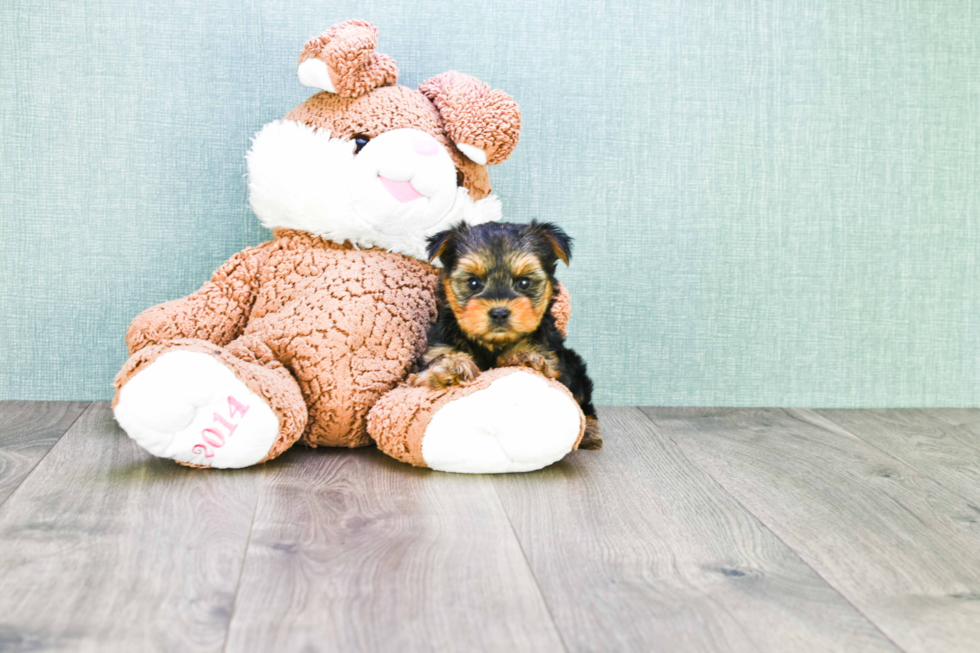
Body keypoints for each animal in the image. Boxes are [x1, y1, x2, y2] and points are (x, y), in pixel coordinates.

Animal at [412, 219, 596, 448]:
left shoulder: (551, 356)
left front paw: (525, 357)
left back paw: (589, 432)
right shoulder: (438, 346)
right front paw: (451, 366)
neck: (492, 343)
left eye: (524, 282)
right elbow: (433, 364)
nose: (499, 312)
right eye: (473, 282)